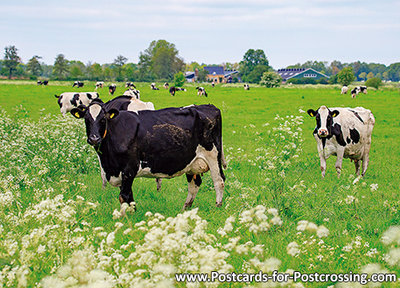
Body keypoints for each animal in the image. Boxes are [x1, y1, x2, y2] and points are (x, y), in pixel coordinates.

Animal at [69, 103, 225, 209]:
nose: (94, 138)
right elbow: (128, 196)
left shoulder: (129, 168)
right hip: (191, 163)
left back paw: (218, 205)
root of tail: (208, 106)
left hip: (213, 155)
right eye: (86, 119)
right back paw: (185, 208)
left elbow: (124, 196)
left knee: (219, 181)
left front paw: (126, 217)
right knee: (194, 184)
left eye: (103, 119)